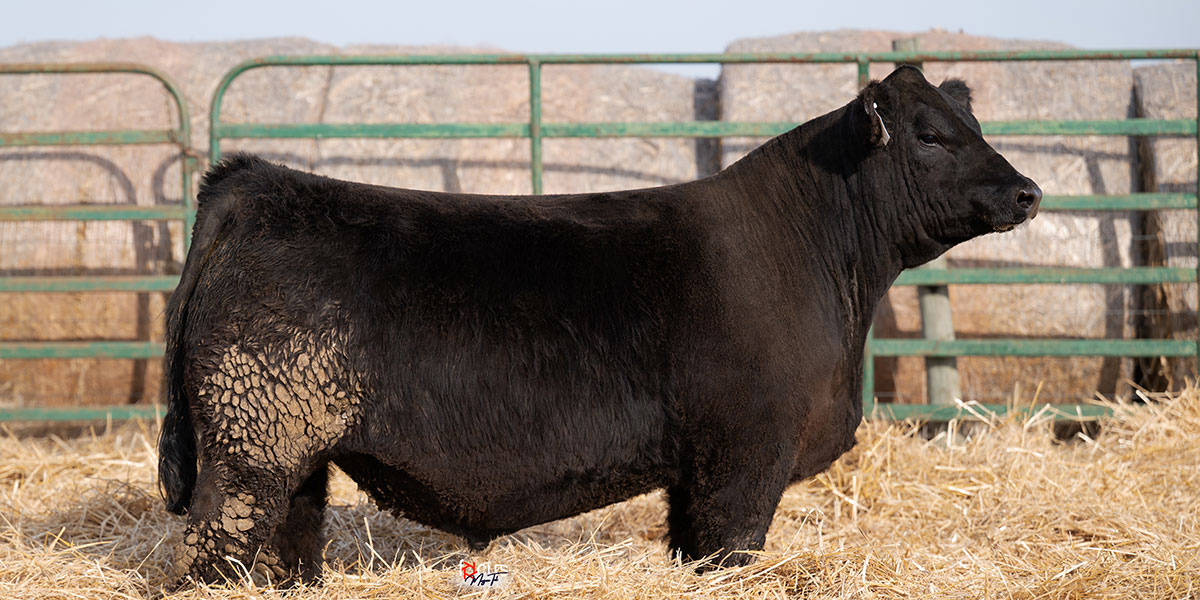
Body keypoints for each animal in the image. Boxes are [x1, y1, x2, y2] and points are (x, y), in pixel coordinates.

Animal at [158, 65, 1041, 584]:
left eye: (973, 125)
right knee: (211, 548)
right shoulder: (745, 455)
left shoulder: (697, 469)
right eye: (930, 135)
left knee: (288, 540)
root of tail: (255, 182)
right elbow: (729, 550)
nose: (1028, 191)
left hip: (291, 449)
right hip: (250, 445)